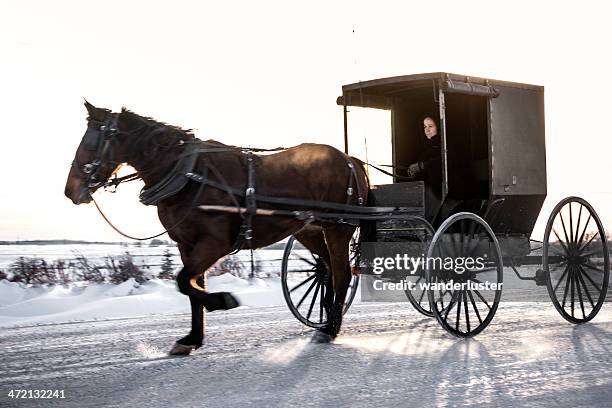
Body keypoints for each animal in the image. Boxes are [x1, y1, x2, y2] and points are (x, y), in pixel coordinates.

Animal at [63, 101, 368, 354]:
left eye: (90, 143)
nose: (70, 191)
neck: (188, 175)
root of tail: (350, 159)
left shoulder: (215, 243)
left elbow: (184, 282)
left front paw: (222, 300)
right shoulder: (187, 245)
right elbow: (192, 287)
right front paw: (192, 339)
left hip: (337, 228)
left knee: (341, 274)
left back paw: (330, 329)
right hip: (309, 230)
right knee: (327, 270)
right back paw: (327, 321)